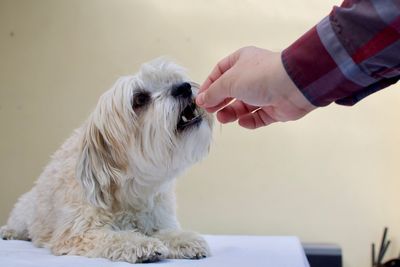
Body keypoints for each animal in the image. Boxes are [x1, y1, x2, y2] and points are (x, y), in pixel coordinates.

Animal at [0, 59, 214, 264]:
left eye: (172, 79)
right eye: (139, 99)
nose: (184, 87)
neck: (132, 190)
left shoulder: (156, 218)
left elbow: (164, 232)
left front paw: (183, 239)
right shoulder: (78, 233)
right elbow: (113, 237)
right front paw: (139, 244)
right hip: (24, 214)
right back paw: (9, 231)